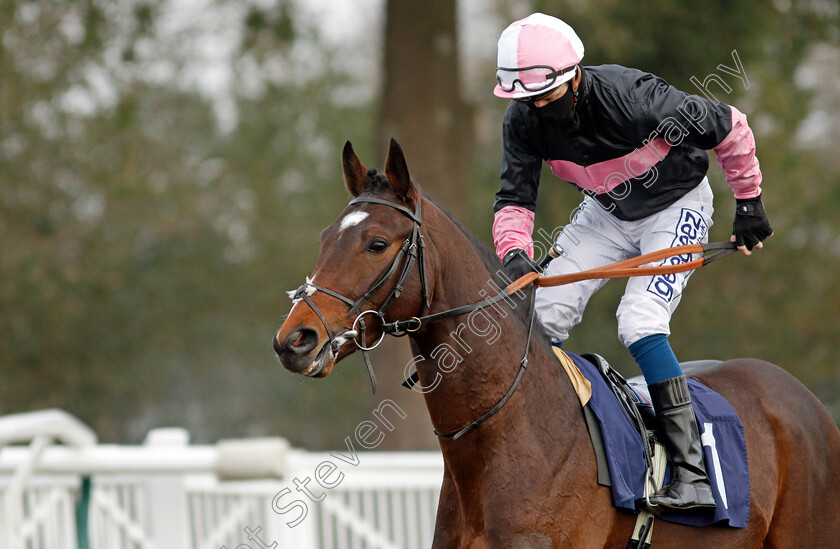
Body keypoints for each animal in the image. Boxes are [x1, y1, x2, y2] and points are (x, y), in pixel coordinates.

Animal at [274, 139, 840, 544]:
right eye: (325, 239)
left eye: (375, 243)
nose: (294, 339)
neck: (508, 432)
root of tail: (802, 398)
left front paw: (752, 217)